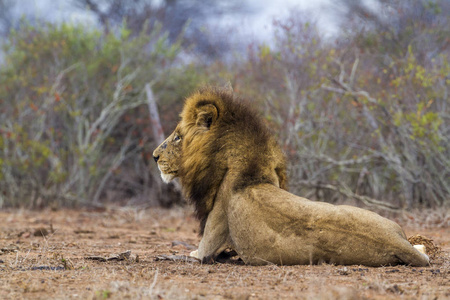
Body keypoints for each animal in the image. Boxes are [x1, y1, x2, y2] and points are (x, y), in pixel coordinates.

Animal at [154, 87, 428, 268]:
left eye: (177, 137)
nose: (154, 156)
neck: (248, 172)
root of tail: (397, 243)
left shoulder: (210, 241)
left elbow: (192, 253)